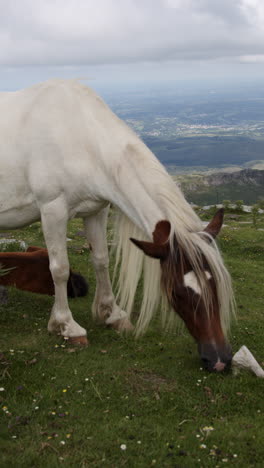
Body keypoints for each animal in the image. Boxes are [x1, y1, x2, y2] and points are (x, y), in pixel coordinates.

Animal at [0, 81, 235, 372]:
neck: (79, 136)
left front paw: (111, 314)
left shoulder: (96, 210)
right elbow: (60, 270)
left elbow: (101, 260)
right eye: (178, 292)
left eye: (216, 286)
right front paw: (66, 326)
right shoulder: (52, 210)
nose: (220, 360)